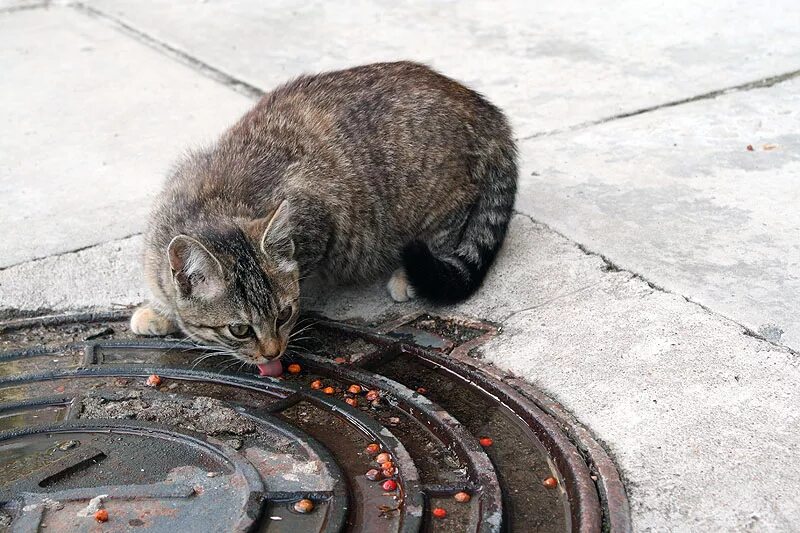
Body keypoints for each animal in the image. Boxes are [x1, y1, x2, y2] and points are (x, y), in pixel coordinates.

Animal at [131, 61, 520, 374]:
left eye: (284, 315)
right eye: (239, 329)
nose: (273, 351)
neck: (212, 205)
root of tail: (487, 112)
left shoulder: (319, 218)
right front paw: (159, 311)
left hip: (437, 194)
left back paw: (406, 276)